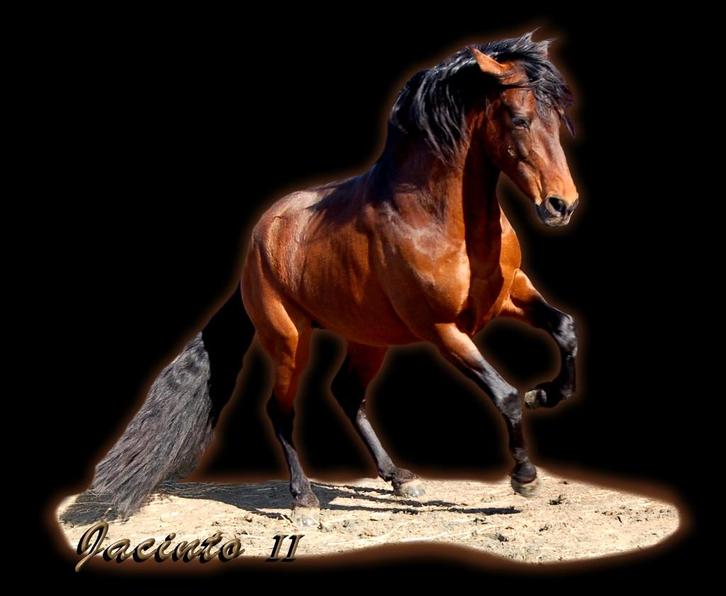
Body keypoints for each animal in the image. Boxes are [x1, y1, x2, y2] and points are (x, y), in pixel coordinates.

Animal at [88, 32, 580, 527]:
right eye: (519, 119)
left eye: (558, 119)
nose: (562, 205)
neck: (439, 222)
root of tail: (258, 242)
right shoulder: (443, 330)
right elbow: (505, 394)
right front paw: (525, 476)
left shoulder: (509, 294)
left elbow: (565, 329)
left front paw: (546, 394)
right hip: (290, 340)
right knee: (281, 411)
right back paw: (304, 501)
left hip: (369, 338)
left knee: (347, 394)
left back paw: (401, 479)